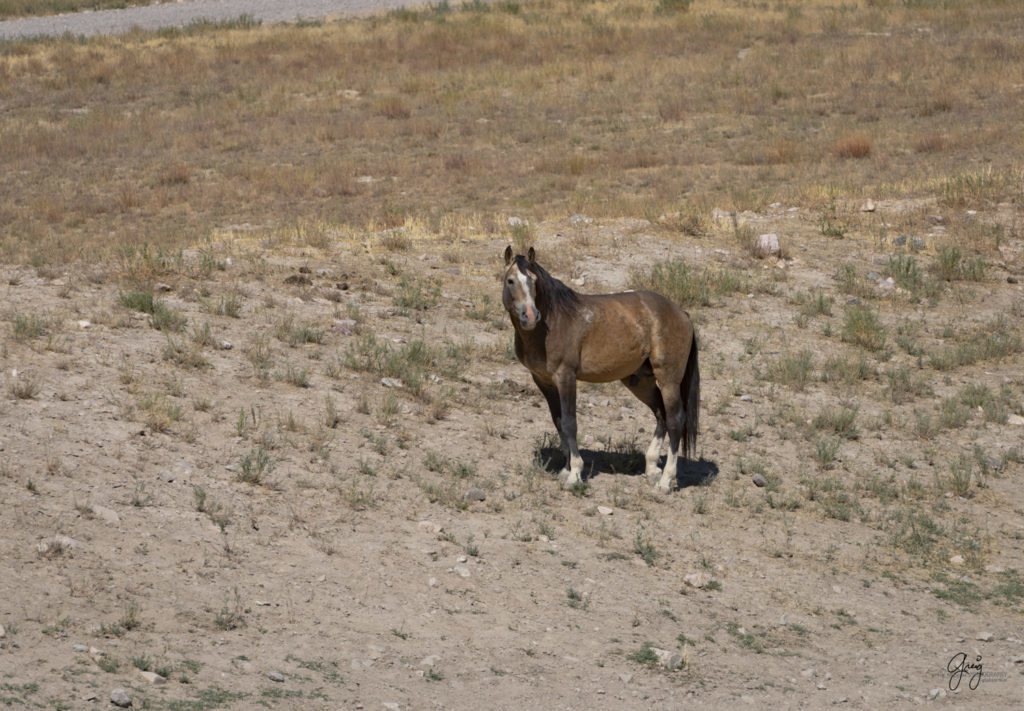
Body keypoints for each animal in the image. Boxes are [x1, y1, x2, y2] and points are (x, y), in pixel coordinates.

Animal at [501, 247, 700, 493]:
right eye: (510, 281)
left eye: (534, 281)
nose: (530, 316)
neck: (553, 321)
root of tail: (682, 313)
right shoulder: (544, 381)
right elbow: (558, 421)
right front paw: (566, 469)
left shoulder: (566, 377)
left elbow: (570, 423)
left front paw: (575, 474)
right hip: (640, 382)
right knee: (661, 414)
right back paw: (653, 468)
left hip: (668, 380)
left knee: (675, 420)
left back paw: (665, 480)